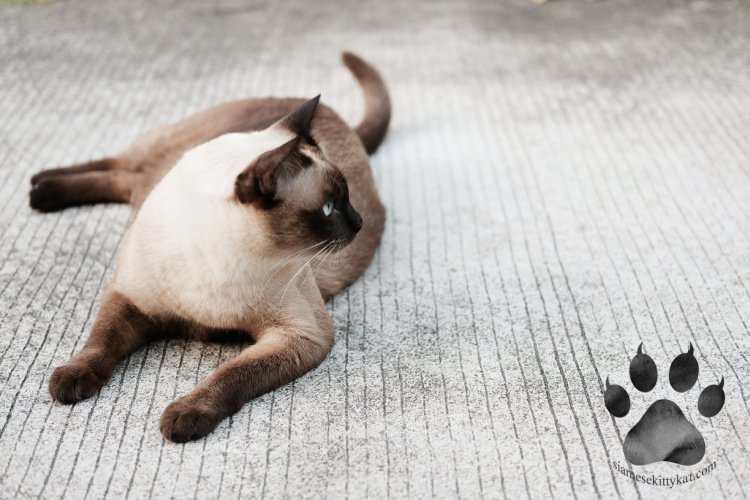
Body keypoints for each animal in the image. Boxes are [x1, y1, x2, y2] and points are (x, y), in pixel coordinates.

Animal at [30, 50, 390, 442]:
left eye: (347, 200)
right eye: (328, 208)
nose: (358, 222)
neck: (222, 260)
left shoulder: (299, 335)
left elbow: (231, 374)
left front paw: (186, 416)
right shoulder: (129, 297)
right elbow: (100, 342)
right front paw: (71, 379)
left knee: (125, 178)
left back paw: (41, 191)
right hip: (155, 150)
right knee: (120, 165)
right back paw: (39, 187)